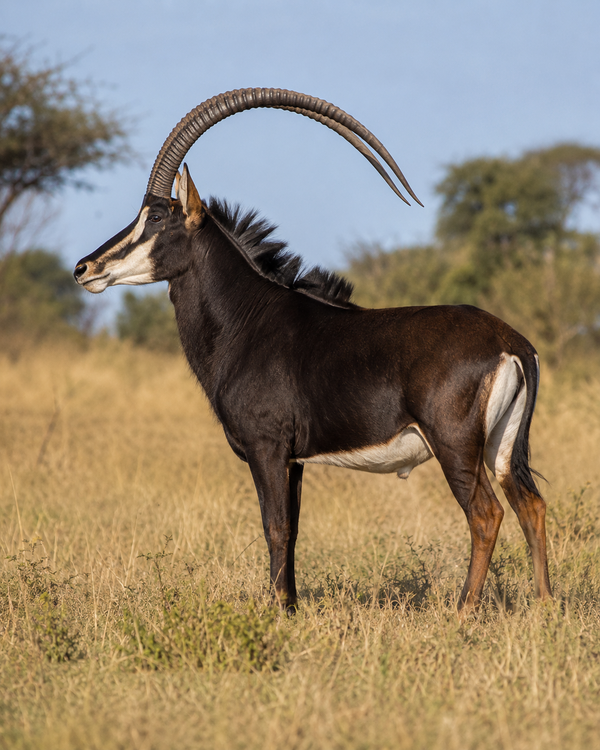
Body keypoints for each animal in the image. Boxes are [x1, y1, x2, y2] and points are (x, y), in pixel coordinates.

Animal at [74, 88, 552, 612]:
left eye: (157, 217)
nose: (84, 268)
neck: (246, 319)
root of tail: (512, 343)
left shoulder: (266, 448)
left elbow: (275, 528)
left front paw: (276, 613)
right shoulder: (295, 460)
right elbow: (294, 531)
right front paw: (292, 607)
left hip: (455, 445)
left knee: (485, 515)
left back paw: (464, 611)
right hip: (500, 447)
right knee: (531, 506)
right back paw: (546, 609)